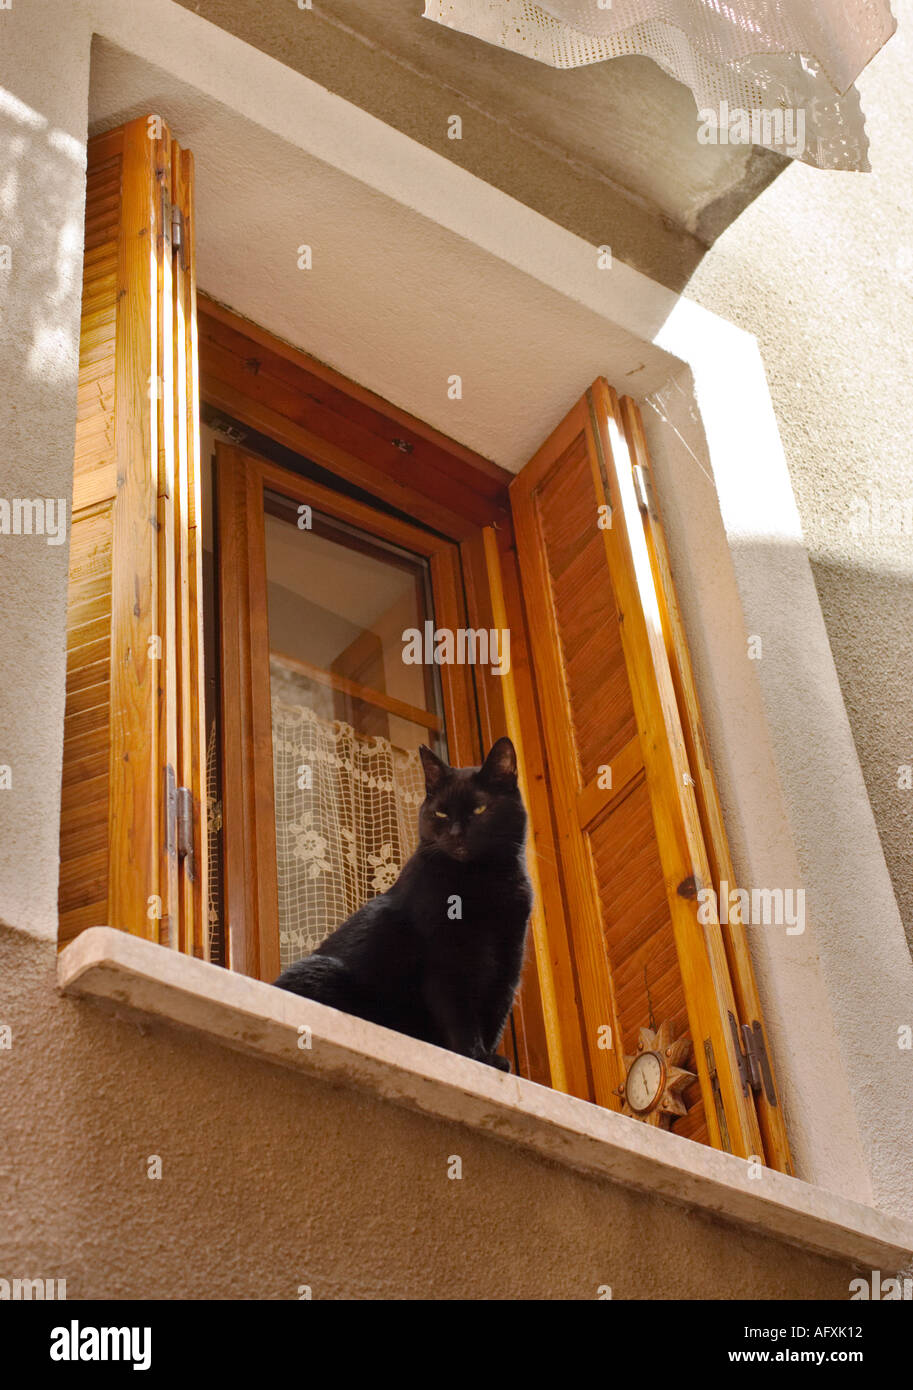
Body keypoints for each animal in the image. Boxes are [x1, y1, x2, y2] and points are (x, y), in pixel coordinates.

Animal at [273, 739, 530, 1073]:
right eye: (441, 813)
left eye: (480, 809)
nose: (456, 834)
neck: (481, 881)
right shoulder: (444, 962)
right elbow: (460, 1015)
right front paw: (475, 1058)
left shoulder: (509, 960)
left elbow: (495, 1016)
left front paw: (491, 1061)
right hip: (324, 972)